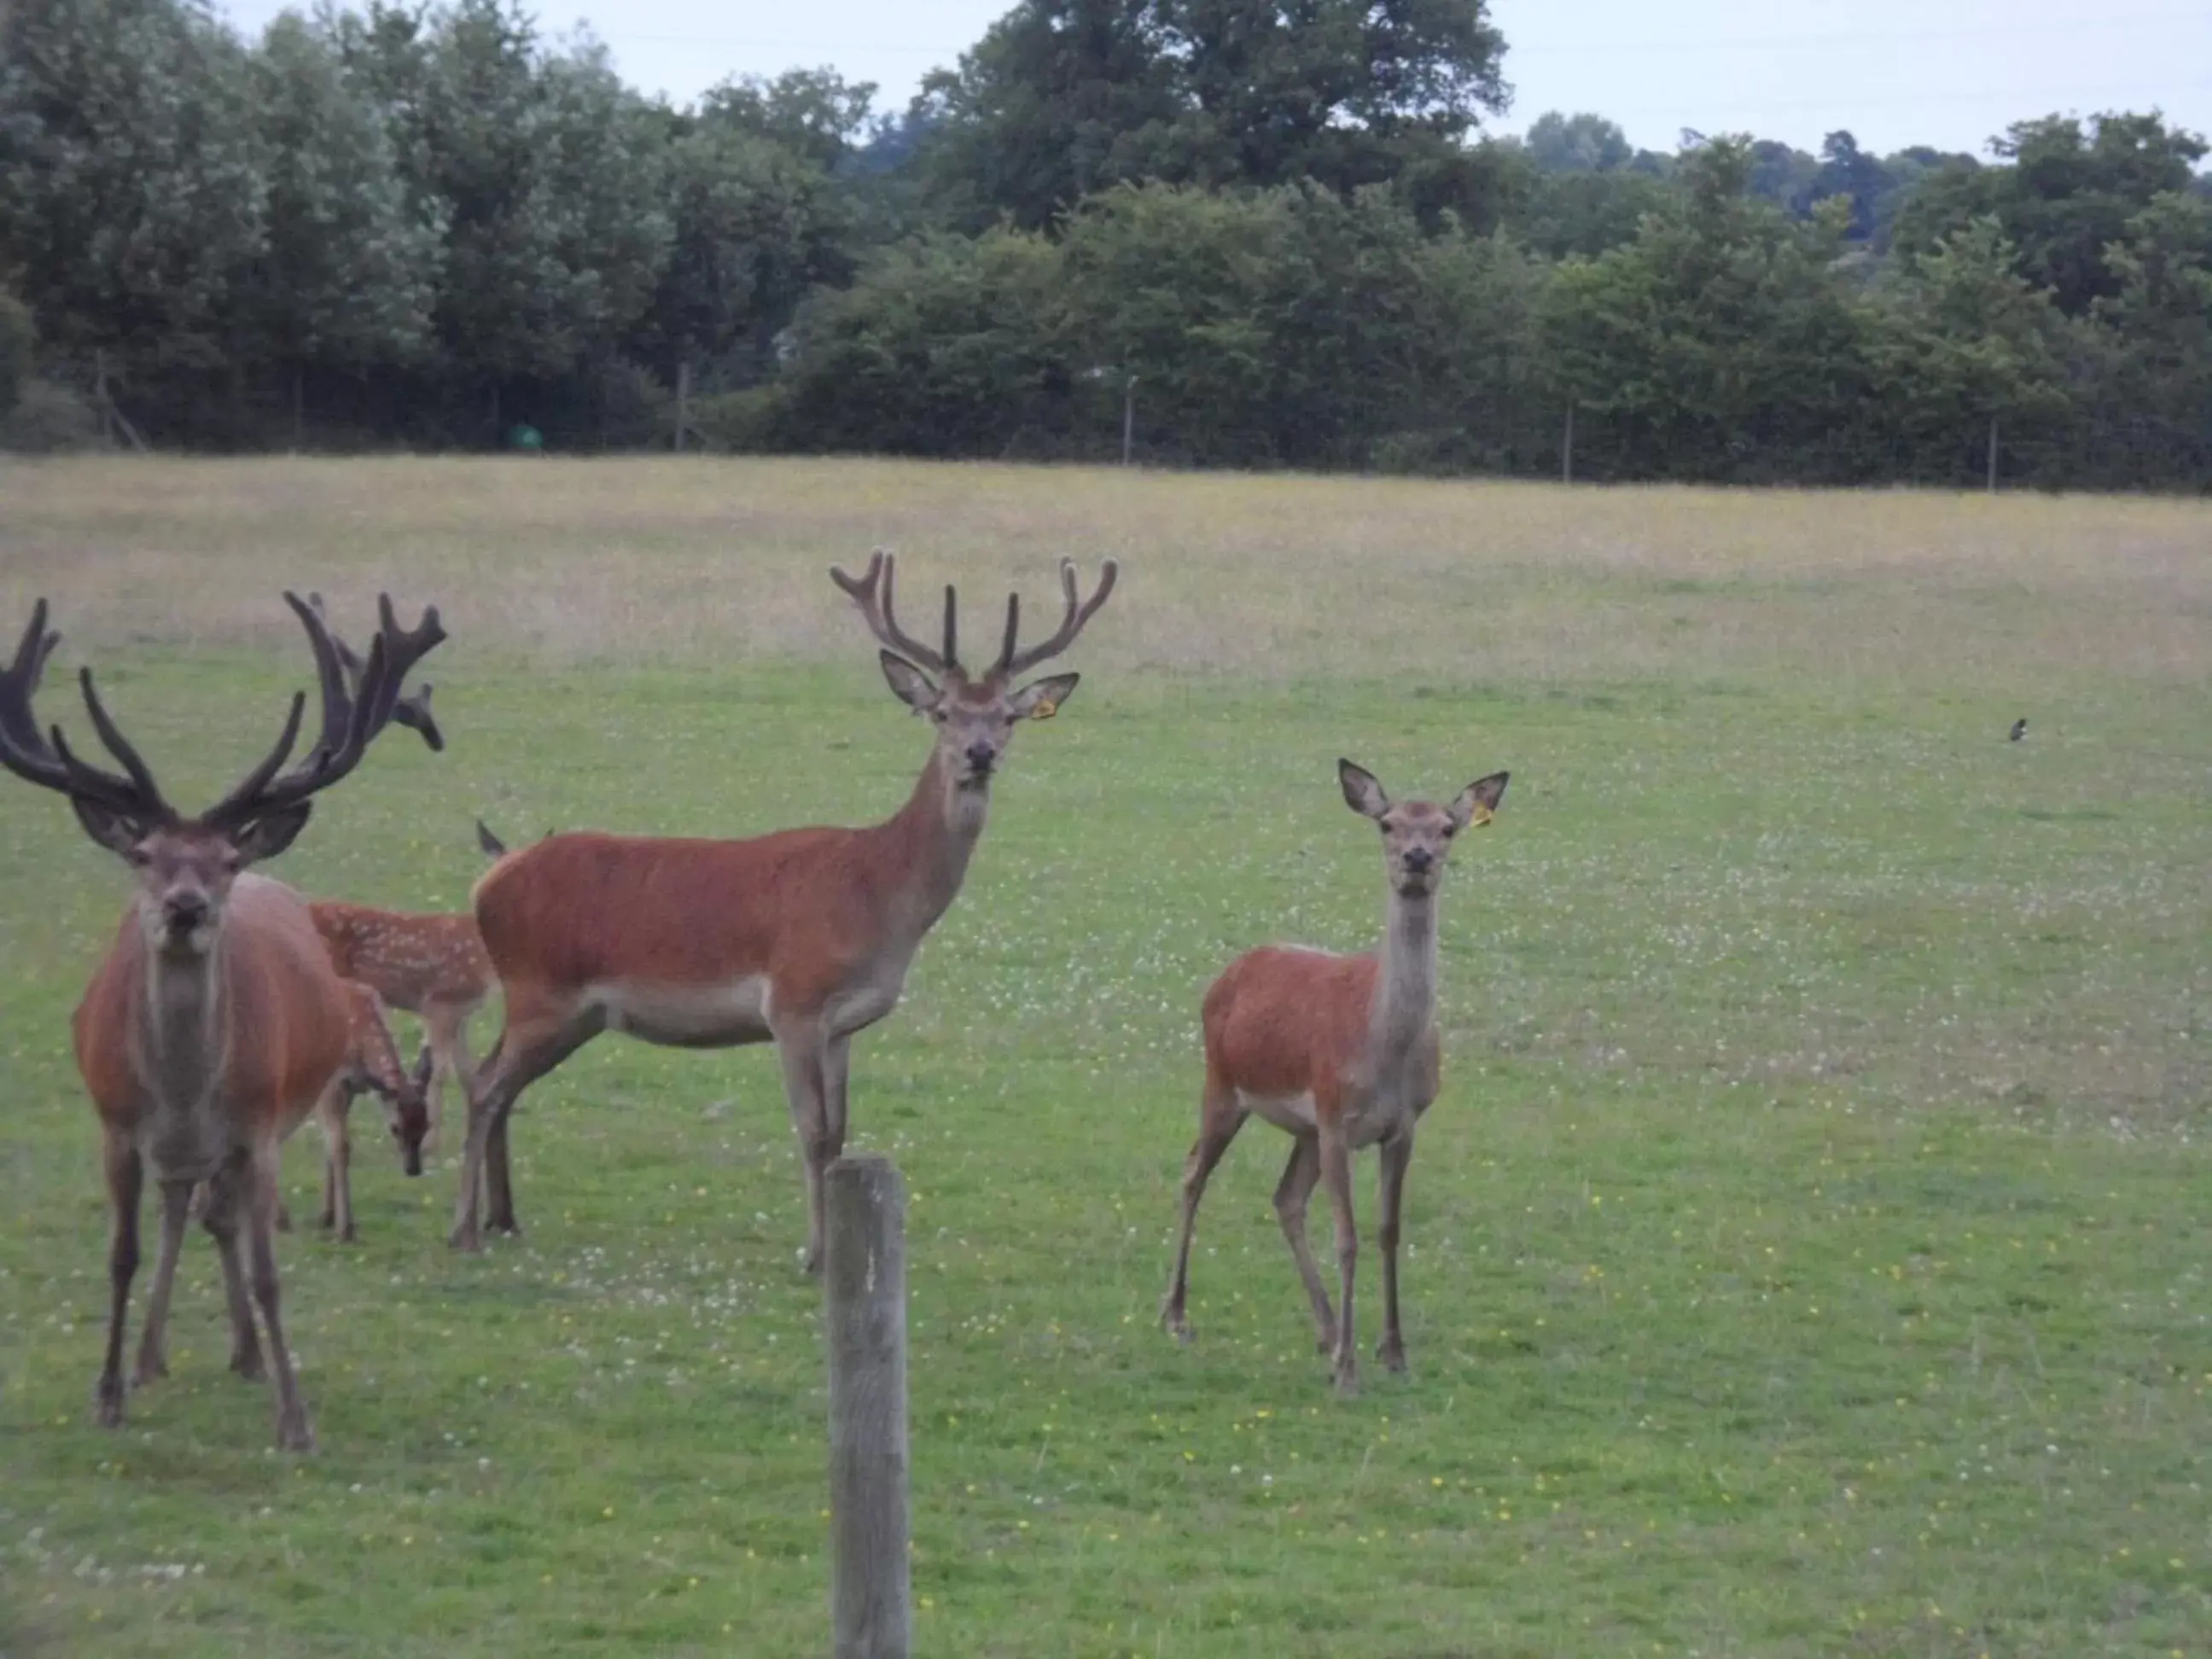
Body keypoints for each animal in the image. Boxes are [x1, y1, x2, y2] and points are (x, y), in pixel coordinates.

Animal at [314, 981, 438, 1238]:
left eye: (426, 1124)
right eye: (395, 1128)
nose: (413, 1169)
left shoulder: (350, 1088)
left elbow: (331, 1143)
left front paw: (327, 1217)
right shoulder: (331, 1085)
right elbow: (339, 1145)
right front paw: (344, 1229)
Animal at [449, 553, 1115, 1265]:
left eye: (1008, 717)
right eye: (941, 711)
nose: (979, 753)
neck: (878, 897)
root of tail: (490, 881)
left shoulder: (845, 1022)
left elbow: (843, 1132)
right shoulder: (792, 1002)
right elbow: (814, 1131)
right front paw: (816, 1254)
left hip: (573, 1012)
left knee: (499, 1085)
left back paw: (504, 1219)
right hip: (539, 989)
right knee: (484, 1087)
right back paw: (465, 1229)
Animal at [1159, 760, 1504, 1398]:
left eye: (1447, 827)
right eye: (1388, 823)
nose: (1417, 857)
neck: (1384, 1050)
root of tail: (1227, 974)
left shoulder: (1403, 1124)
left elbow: (1388, 1229)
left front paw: (1392, 1352)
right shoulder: (1338, 1116)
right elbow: (1347, 1235)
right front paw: (1349, 1371)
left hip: (1303, 1127)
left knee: (1286, 1198)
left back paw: (1324, 1330)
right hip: (1223, 1081)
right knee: (1194, 1171)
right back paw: (1176, 1315)